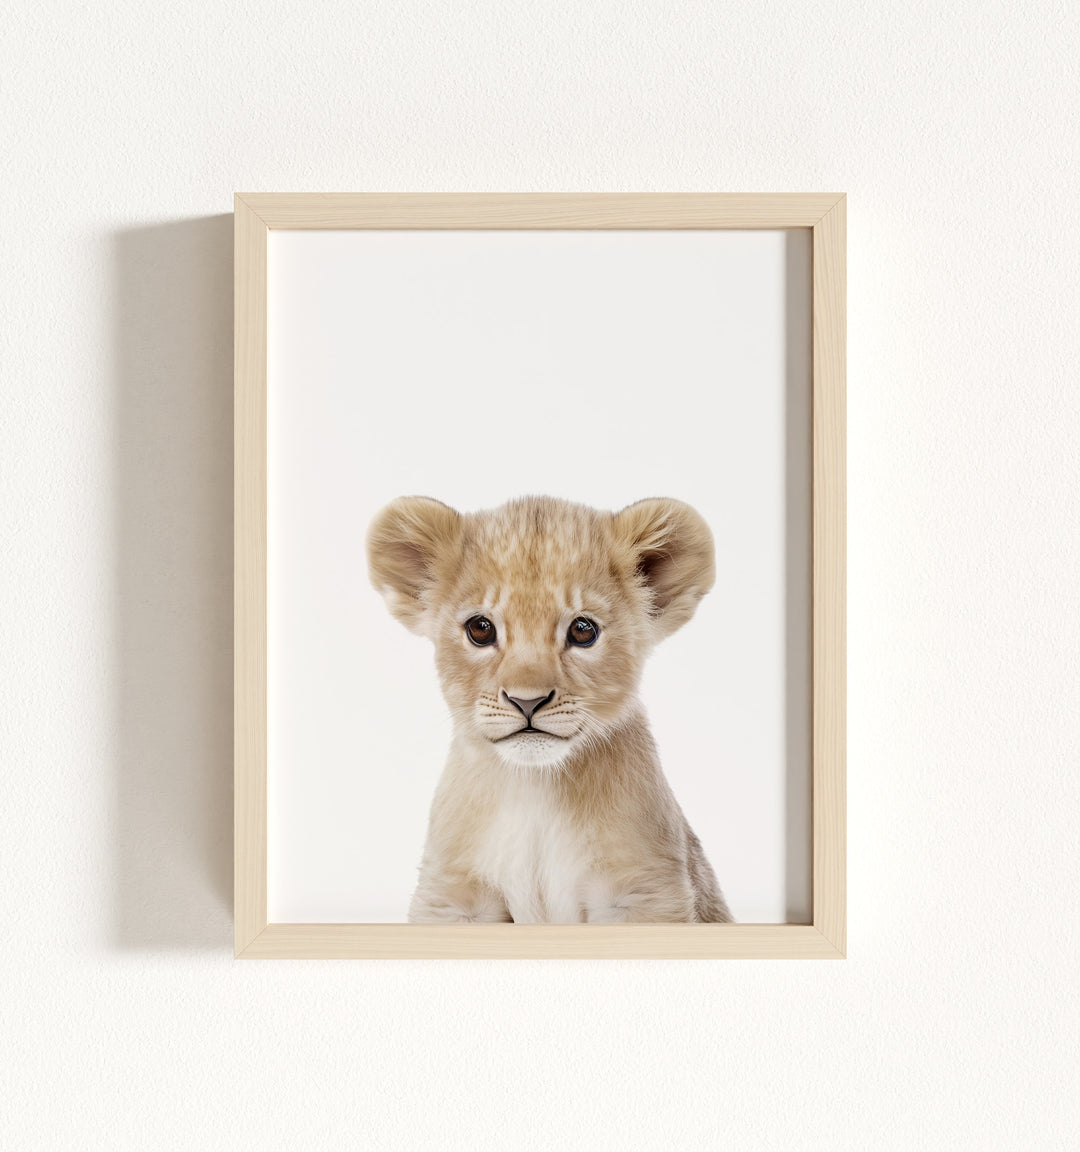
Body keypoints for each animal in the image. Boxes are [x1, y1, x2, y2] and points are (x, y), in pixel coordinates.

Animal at [366, 494, 733, 924]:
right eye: (480, 629)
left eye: (582, 630)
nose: (527, 701)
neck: (535, 789)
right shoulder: (452, 897)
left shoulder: (645, 891)